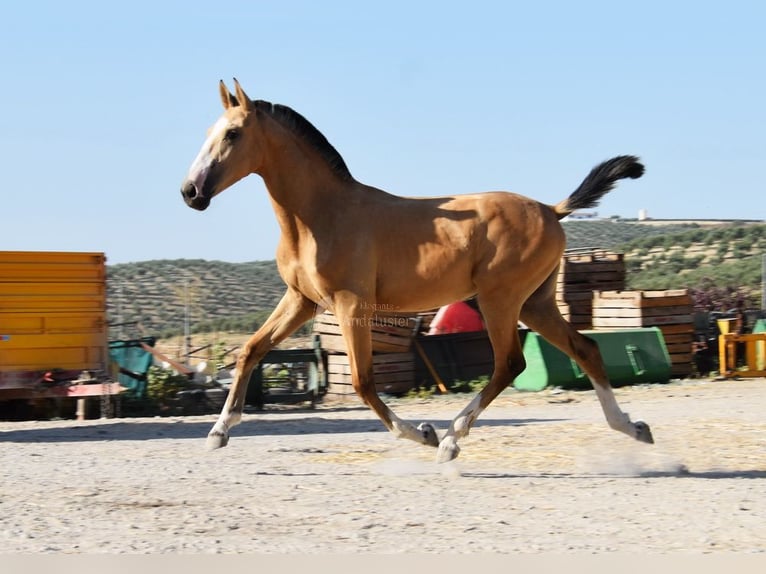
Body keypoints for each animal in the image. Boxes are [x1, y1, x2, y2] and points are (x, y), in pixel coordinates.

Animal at [180, 79, 656, 464]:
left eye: (233, 133)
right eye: (207, 133)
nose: (191, 192)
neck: (320, 215)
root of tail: (551, 210)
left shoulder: (351, 305)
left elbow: (363, 382)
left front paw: (422, 433)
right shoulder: (301, 300)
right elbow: (251, 350)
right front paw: (218, 432)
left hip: (500, 300)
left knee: (510, 364)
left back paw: (450, 439)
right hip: (534, 303)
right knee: (584, 349)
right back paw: (632, 427)